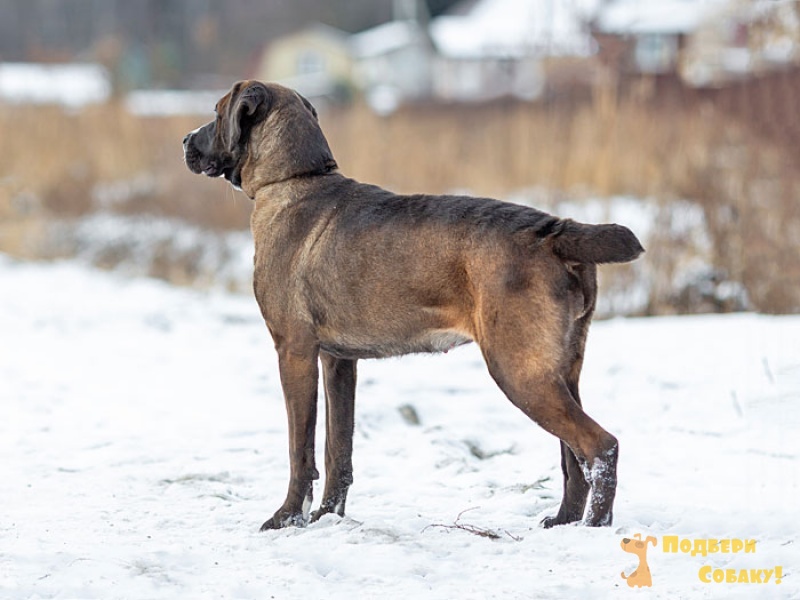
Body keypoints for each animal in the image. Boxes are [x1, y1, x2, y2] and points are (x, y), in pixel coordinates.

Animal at [183, 80, 643, 531]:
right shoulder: (338, 361)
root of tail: (555, 231)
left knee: (599, 446)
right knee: (573, 456)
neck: (294, 180)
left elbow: (301, 448)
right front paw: (328, 517)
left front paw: (287, 517)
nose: (186, 139)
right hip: (562, 371)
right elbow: (338, 449)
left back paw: (594, 526)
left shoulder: (293, 351)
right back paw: (564, 521)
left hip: (520, 371)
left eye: (217, 112)